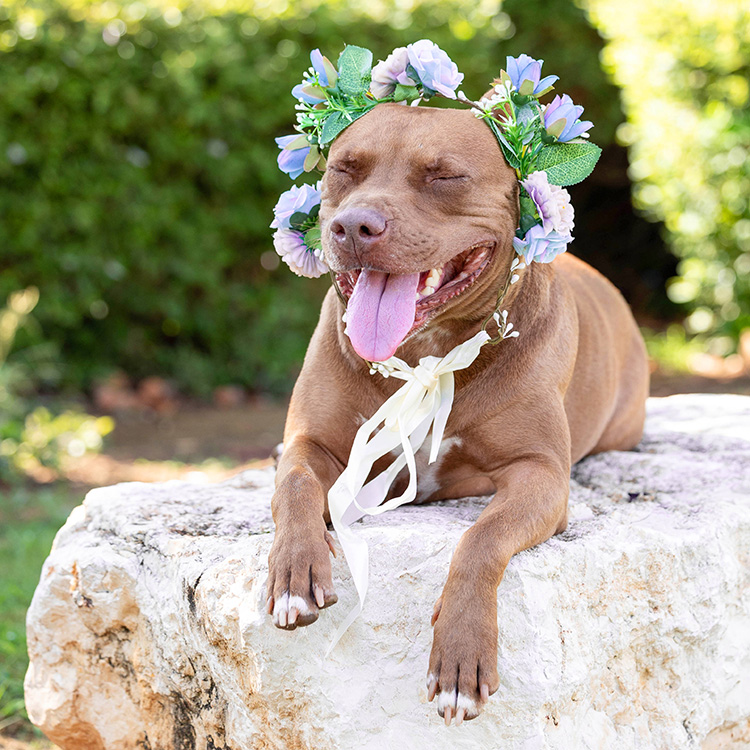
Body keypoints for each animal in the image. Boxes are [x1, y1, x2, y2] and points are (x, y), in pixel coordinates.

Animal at [266, 103, 652, 724]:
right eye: (345, 169)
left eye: (444, 175)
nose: (353, 227)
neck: (428, 353)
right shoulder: (313, 441)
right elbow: (296, 483)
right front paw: (294, 571)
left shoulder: (541, 473)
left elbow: (482, 536)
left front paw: (461, 653)